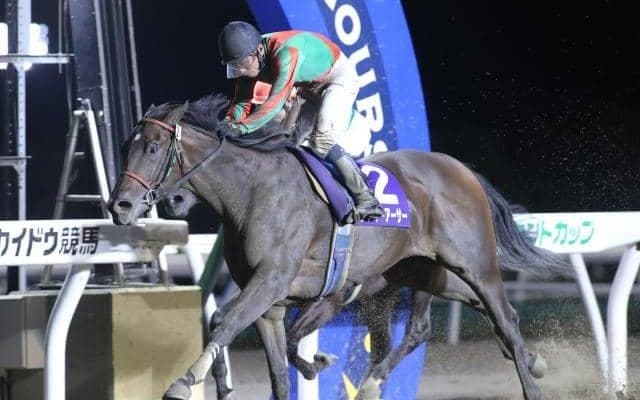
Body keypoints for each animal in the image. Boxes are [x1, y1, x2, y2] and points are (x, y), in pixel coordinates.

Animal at [109, 94, 570, 400]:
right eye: (124, 147)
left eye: (153, 148)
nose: (120, 206)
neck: (253, 190)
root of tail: (461, 169)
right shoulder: (273, 302)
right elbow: (276, 367)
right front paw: (306, 367)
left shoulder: (274, 281)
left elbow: (224, 320)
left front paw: (183, 383)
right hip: (422, 270)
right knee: (460, 317)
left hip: (475, 263)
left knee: (503, 317)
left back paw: (530, 383)